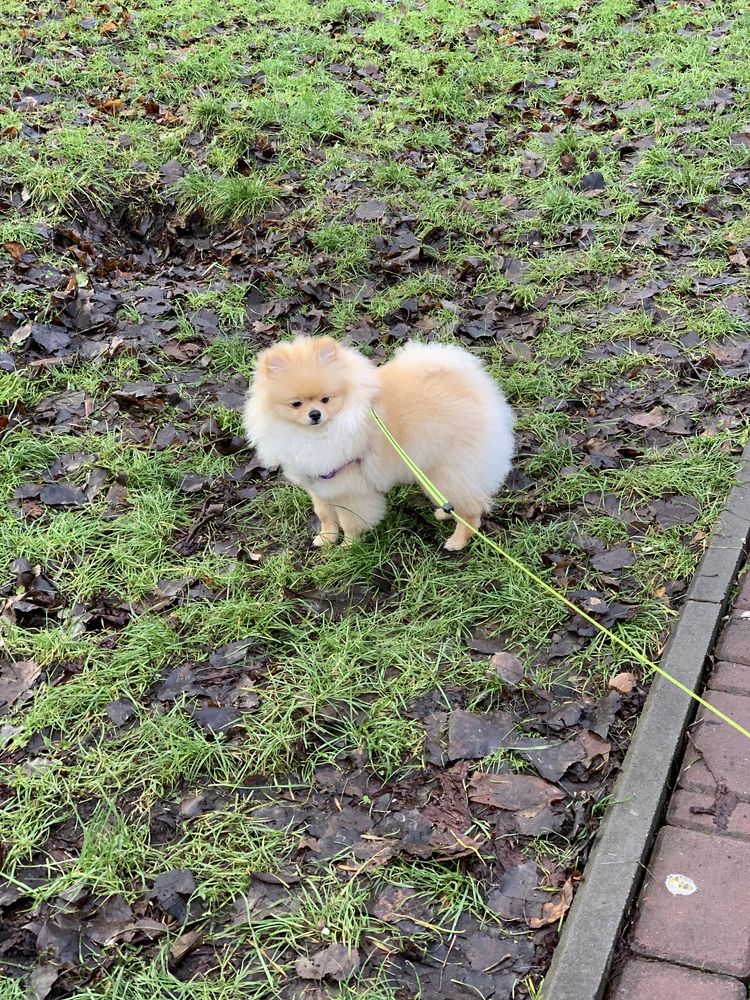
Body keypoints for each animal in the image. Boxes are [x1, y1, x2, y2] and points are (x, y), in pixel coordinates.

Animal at [247, 340, 516, 552]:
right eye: (296, 404)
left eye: (326, 399)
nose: (315, 414)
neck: (314, 434)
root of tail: (471, 386)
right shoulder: (319, 484)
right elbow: (324, 514)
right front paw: (326, 538)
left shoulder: (350, 489)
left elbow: (349, 522)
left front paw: (348, 547)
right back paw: (444, 512)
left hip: (449, 469)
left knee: (472, 509)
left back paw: (457, 540)